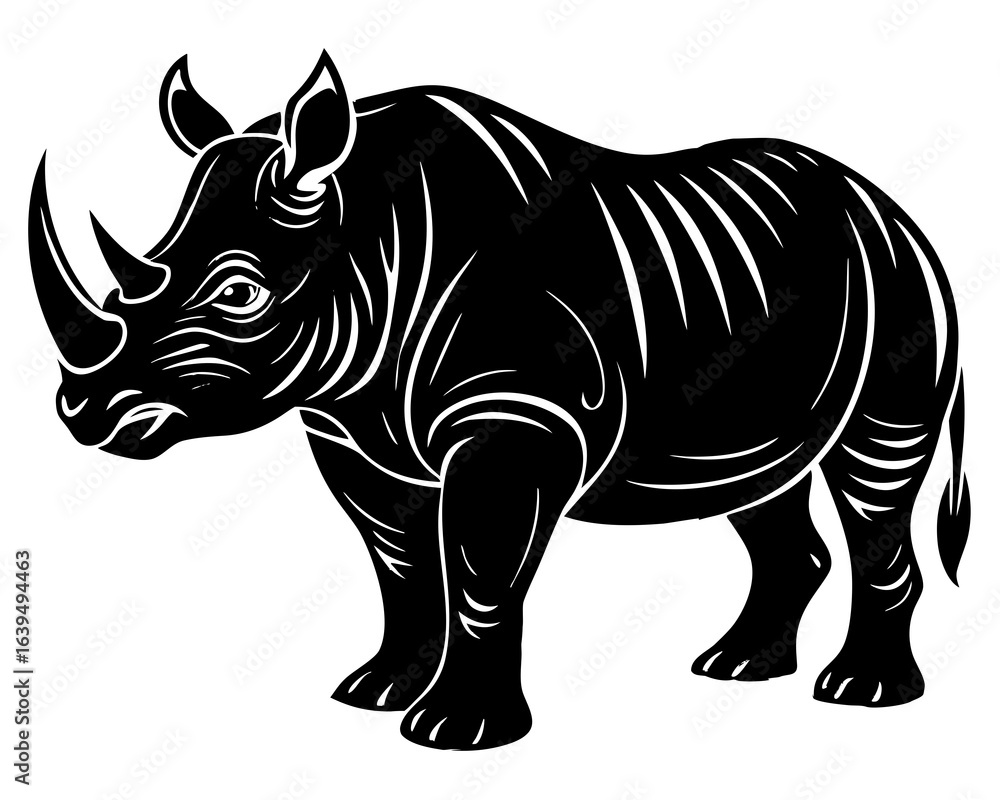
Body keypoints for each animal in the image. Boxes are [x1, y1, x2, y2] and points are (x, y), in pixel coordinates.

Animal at [30, 51, 971, 750]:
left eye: (239, 295)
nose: (85, 410)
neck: (375, 232)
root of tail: (896, 211)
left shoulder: (516, 414)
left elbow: (481, 570)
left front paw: (454, 732)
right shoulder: (350, 422)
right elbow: (401, 564)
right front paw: (374, 691)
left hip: (903, 290)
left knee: (874, 474)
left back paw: (860, 694)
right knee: (760, 482)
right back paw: (735, 669)